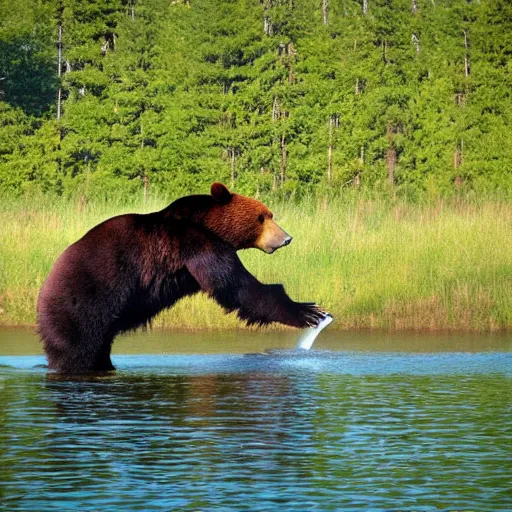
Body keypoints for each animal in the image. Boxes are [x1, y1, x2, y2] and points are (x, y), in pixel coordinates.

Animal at [37, 184, 328, 372]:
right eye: (261, 217)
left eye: (271, 214)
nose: (286, 238)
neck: (208, 223)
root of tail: (44, 289)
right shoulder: (195, 244)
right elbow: (236, 287)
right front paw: (307, 311)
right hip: (84, 304)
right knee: (79, 348)